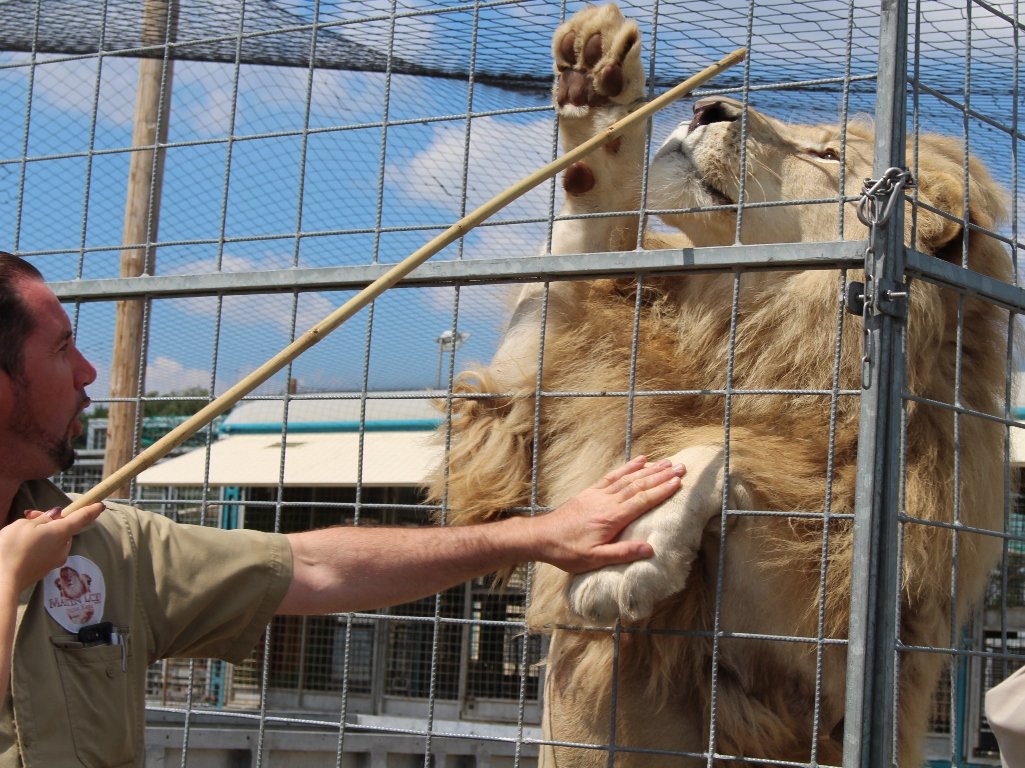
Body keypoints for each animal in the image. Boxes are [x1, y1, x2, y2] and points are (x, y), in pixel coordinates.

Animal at [427, 4, 1013, 766]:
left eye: (827, 156)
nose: (707, 105)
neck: (742, 322)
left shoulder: (832, 652)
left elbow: (717, 446)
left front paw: (626, 564)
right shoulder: (514, 430)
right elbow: (573, 267)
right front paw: (600, 100)